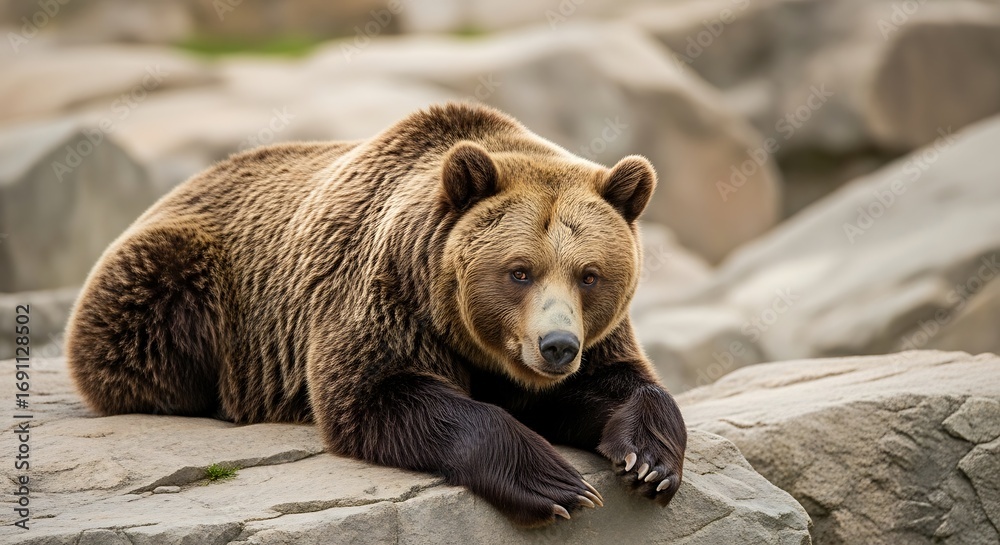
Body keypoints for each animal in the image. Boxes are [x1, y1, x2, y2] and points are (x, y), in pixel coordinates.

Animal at [65, 102, 687, 527]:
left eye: (589, 274)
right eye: (519, 271)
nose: (557, 345)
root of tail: (172, 192)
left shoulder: (585, 343)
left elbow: (617, 382)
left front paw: (649, 461)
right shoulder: (384, 296)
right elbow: (377, 393)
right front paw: (556, 483)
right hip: (179, 283)